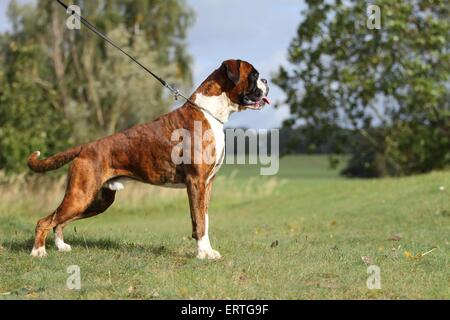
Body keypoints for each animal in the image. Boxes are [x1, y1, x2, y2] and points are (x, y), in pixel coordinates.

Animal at [28, 60, 268, 260]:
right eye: (254, 74)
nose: (265, 80)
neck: (208, 112)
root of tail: (85, 147)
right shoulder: (196, 183)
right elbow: (198, 221)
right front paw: (202, 254)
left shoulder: (207, 184)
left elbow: (205, 219)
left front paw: (208, 251)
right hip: (81, 195)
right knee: (45, 220)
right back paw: (38, 251)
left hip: (95, 201)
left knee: (58, 220)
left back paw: (61, 246)